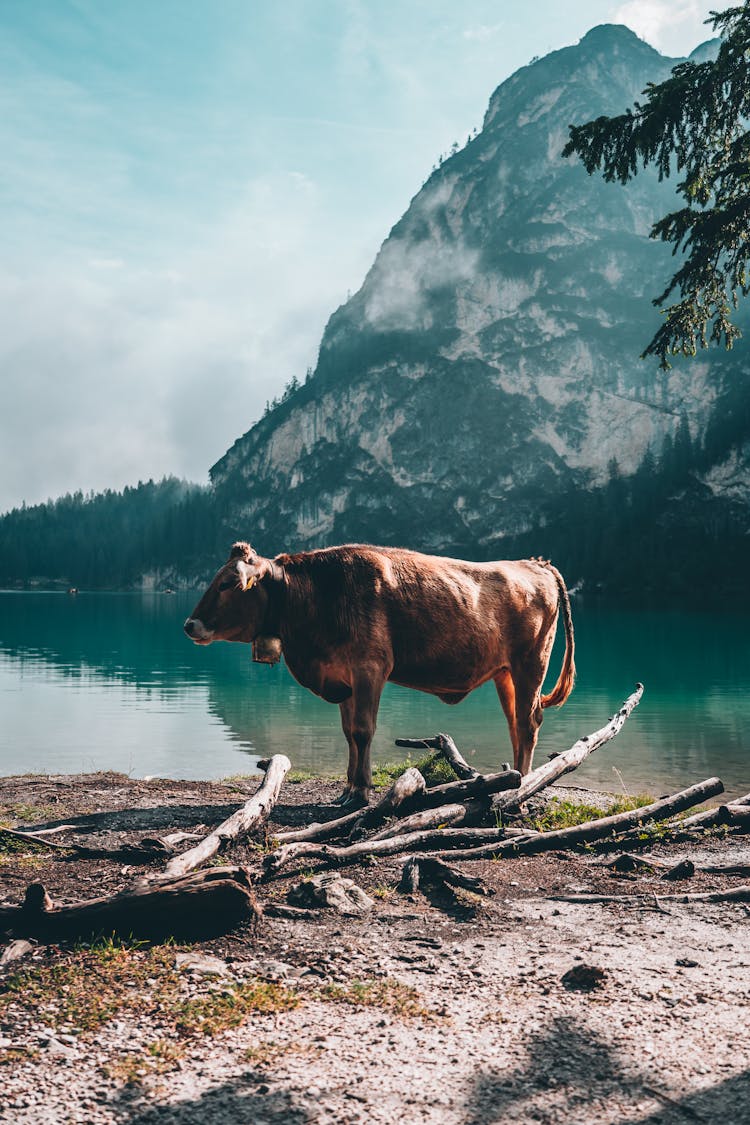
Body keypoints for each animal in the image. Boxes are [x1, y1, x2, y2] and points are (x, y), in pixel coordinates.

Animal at [184, 540, 580, 805]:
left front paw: (360, 792)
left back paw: (522, 781)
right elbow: (348, 733)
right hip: (505, 672)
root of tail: (535, 562)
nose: (190, 625)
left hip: (531, 662)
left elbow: (363, 731)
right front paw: (348, 788)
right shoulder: (343, 676)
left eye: (227, 584)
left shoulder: (369, 667)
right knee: (516, 721)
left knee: (528, 721)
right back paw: (515, 775)